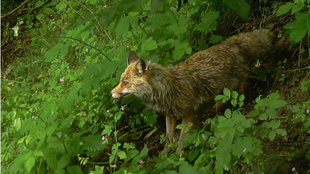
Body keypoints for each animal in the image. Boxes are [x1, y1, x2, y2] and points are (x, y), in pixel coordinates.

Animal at [111, 28, 278, 154]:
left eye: (125, 83)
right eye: (120, 81)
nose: (110, 93)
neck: (165, 90)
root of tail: (227, 43)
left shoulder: (187, 114)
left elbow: (181, 140)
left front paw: (178, 156)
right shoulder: (170, 116)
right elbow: (168, 139)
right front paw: (164, 156)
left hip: (231, 80)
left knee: (244, 76)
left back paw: (240, 95)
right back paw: (216, 108)